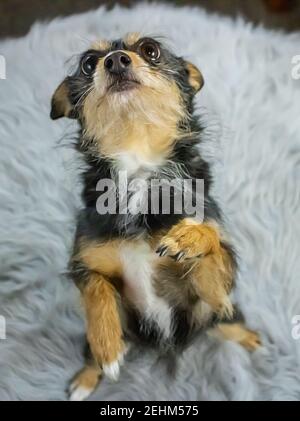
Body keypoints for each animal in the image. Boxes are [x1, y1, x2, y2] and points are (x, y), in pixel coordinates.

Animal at [49, 32, 260, 400]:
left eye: (150, 50)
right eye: (89, 64)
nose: (116, 60)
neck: (139, 165)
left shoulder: (213, 288)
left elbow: (213, 245)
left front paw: (189, 236)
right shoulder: (84, 262)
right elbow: (96, 289)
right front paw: (108, 347)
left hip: (213, 314)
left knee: (228, 321)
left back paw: (251, 338)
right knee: (90, 354)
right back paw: (87, 376)